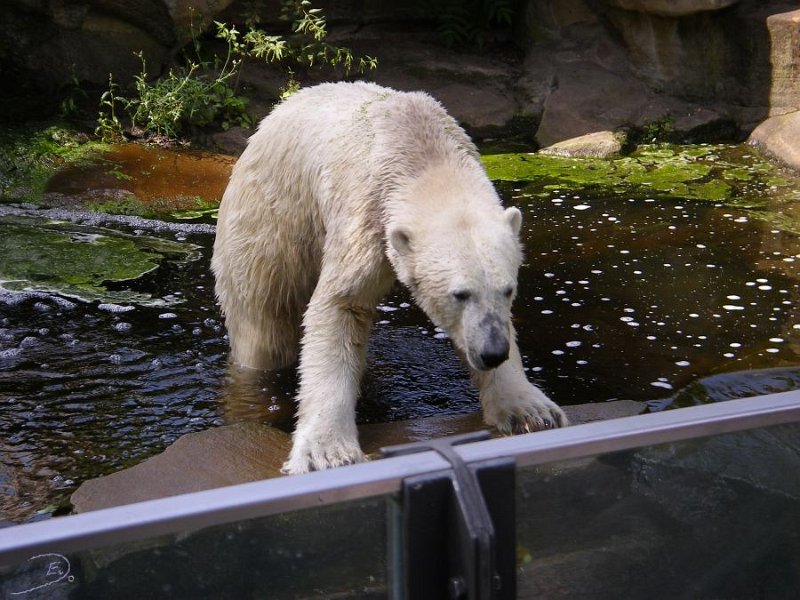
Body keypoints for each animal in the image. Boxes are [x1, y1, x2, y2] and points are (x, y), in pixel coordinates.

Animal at [209, 81, 564, 474]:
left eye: (508, 290)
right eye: (459, 294)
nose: (493, 352)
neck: (420, 148)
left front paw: (531, 410)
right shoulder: (365, 214)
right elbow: (341, 305)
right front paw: (327, 452)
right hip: (268, 226)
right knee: (263, 328)